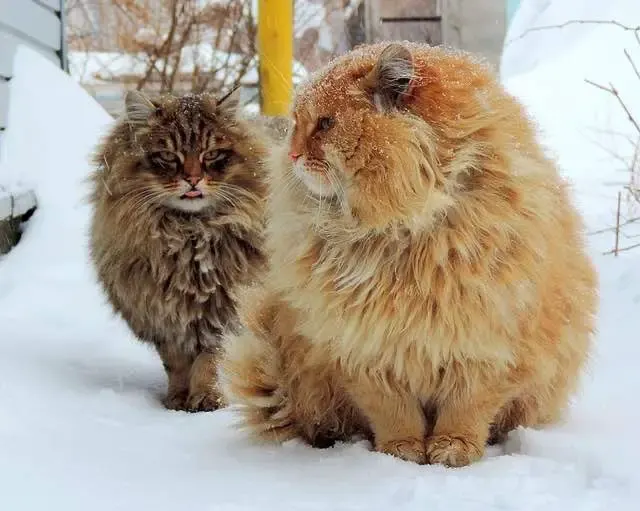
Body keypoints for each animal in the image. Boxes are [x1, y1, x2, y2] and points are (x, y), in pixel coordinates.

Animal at [89, 89, 268, 412]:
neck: (188, 235)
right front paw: (178, 399)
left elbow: (210, 363)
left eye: (212, 154)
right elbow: (177, 366)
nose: (193, 180)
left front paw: (207, 399)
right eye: (168, 156)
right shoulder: (165, 320)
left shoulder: (225, 316)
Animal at [221, 43, 600, 468]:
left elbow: (466, 410)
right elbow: (394, 414)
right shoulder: (364, 353)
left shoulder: (485, 349)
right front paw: (400, 453)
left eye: (325, 124)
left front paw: (452, 449)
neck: (402, 230)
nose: (292, 154)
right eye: (296, 124)